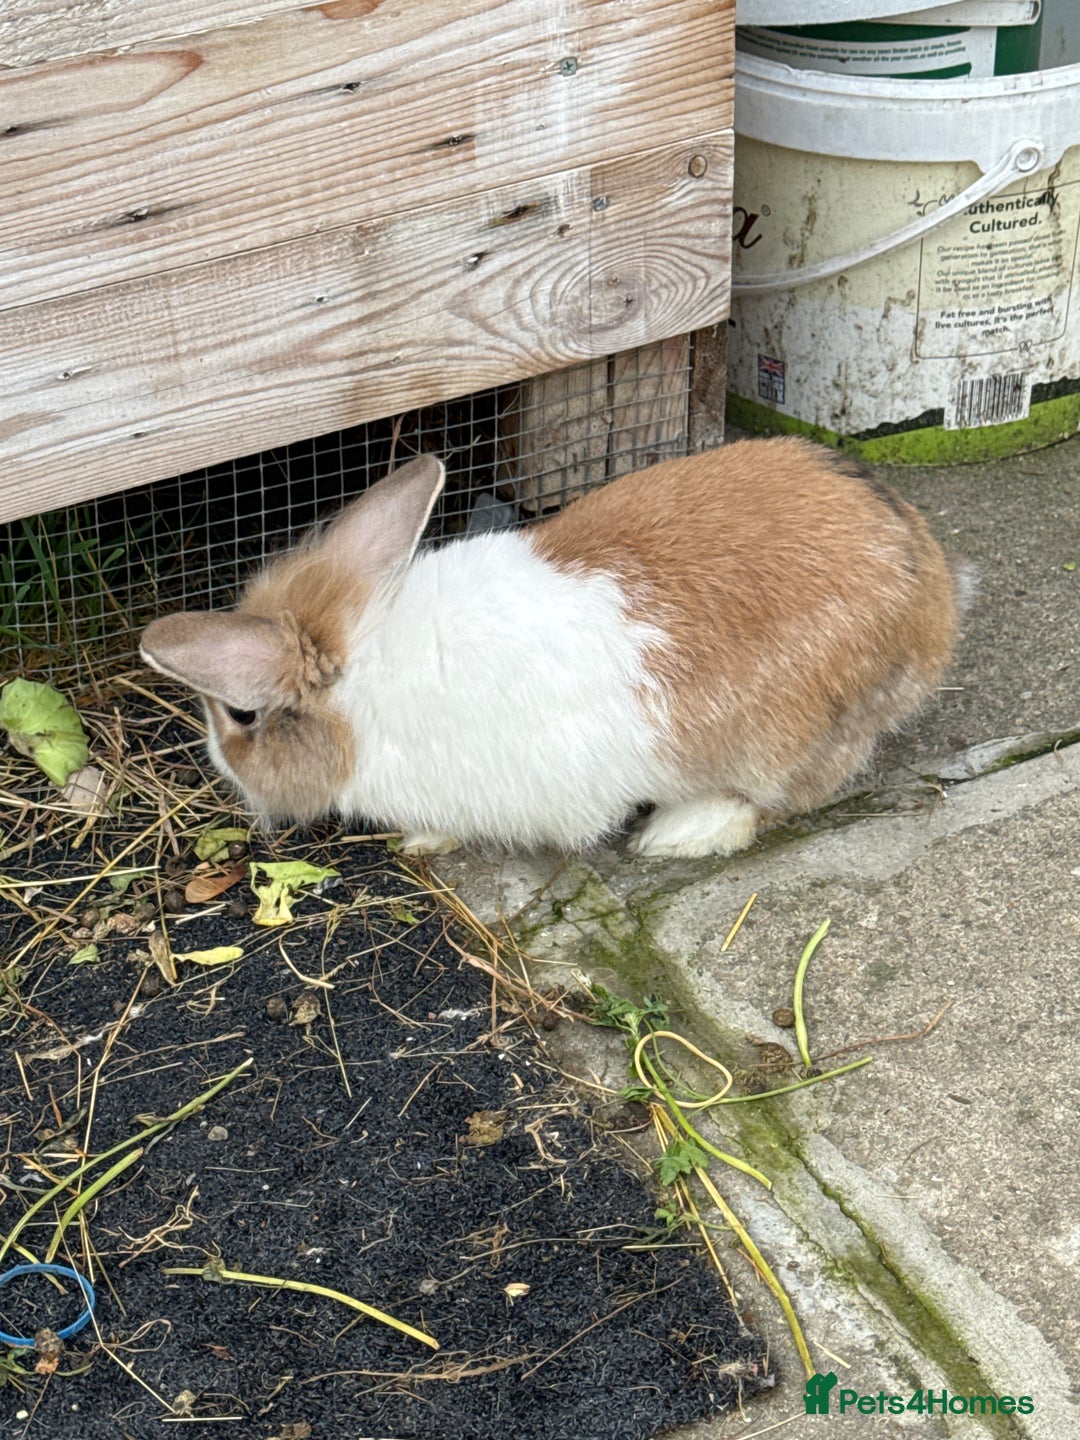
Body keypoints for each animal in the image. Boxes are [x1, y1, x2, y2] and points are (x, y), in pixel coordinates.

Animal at [140, 438, 967, 859]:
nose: (219, 768)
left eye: (240, 718)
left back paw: (677, 835)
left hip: (790, 738)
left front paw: (419, 842)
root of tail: (935, 600)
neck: (360, 683)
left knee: (783, 797)